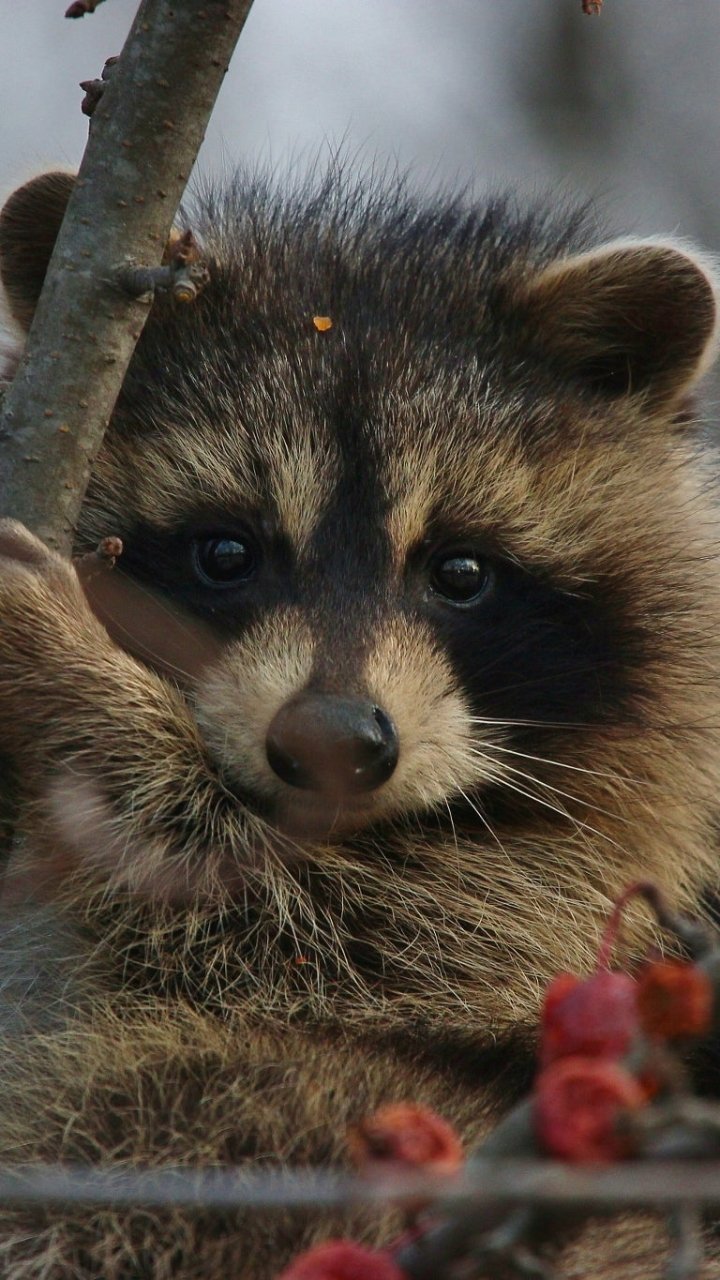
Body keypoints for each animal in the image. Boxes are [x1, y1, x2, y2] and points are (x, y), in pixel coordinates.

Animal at [0, 168, 718, 1277]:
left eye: (461, 571)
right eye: (224, 552)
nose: (334, 742)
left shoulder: (559, 883)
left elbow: (339, 925)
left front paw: (87, 694)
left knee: (178, 1105)